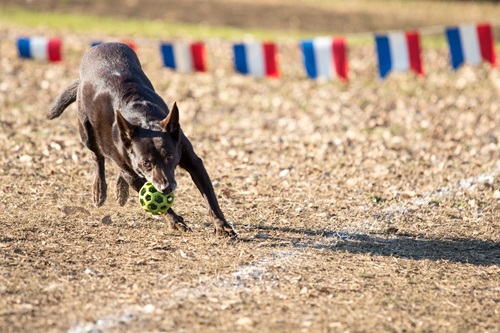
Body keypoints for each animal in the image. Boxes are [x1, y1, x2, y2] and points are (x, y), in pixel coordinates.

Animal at [49, 42, 237, 236]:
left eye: (169, 157)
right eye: (146, 163)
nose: (166, 188)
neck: (141, 117)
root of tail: (102, 45)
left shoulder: (192, 160)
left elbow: (210, 197)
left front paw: (222, 225)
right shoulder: (133, 174)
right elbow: (158, 203)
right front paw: (175, 221)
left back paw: (121, 190)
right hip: (86, 132)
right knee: (97, 156)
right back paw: (99, 189)